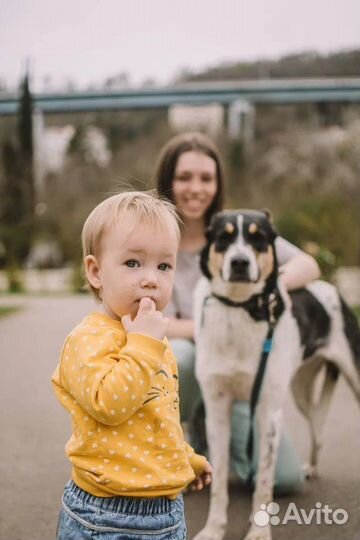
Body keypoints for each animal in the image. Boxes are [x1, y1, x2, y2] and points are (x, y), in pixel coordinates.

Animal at [193, 210, 358, 540]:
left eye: (258, 237)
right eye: (223, 237)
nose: (239, 263)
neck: (240, 308)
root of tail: (329, 287)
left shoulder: (268, 413)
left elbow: (264, 484)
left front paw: (258, 531)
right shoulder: (217, 412)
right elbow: (219, 485)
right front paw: (214, 529)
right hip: (299, 389)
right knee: (318, 427)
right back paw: (312, 467)